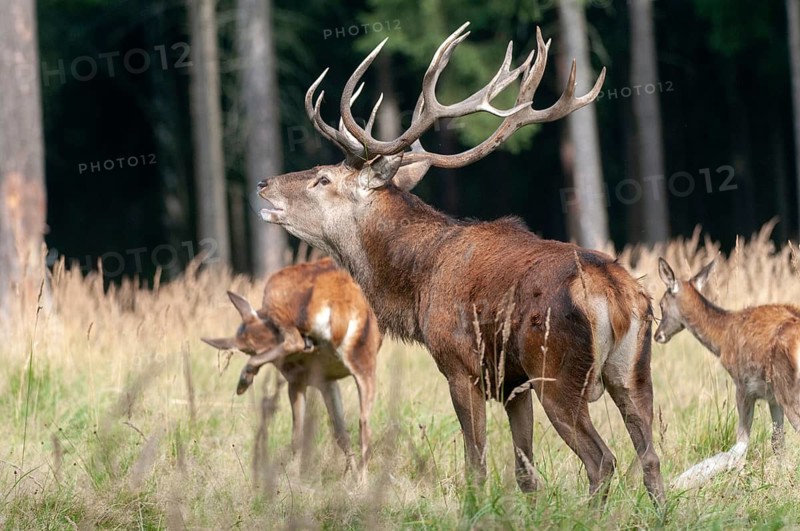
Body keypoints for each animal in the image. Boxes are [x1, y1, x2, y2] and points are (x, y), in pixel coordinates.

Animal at [201, 257, 382, 476]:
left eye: (248, 350)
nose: (309, 345)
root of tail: (338, 306)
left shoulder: (298, 380)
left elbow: (297, 435)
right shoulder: (327, 380)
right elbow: (341, 433)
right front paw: (349, 475)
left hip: (274, 291)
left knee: (293, 341)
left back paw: (244, 380)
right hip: (364, 360)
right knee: (364, 424)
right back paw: (362, 480)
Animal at [255, 22, 665, 506]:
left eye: (323, 179)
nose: (264, 184)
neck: (416, 284)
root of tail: (618, 293)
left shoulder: (459, 365)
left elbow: (477, 464)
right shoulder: (512, 383)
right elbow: (525, 472)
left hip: (558, 373)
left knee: (601, 459)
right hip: (633, 372)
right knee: (650, 456)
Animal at [655, 257, 800, 488]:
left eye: (661, 304)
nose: (657, 335)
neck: (721, 339)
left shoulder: (743, 385)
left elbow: (739, 446)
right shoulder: (772, 396)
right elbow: (777, 441)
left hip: (789, 389)